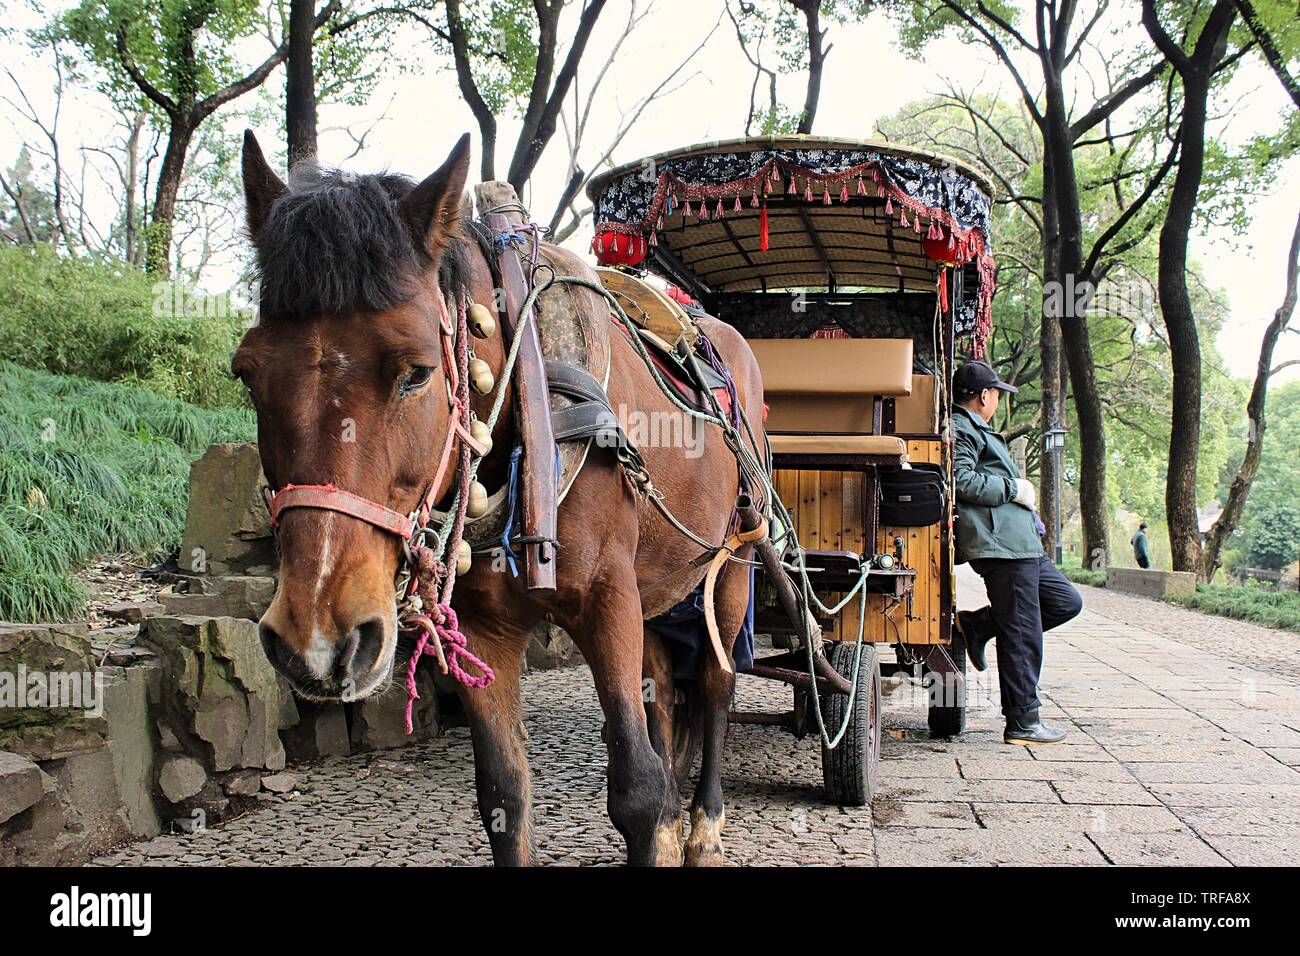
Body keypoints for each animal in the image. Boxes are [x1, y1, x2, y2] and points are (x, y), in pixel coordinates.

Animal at [233, 131, 768, 866]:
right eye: (246, 375)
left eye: (417, 372)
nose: (316, 640)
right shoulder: (486, 627)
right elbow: (503, 798)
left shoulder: (609, 596)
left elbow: (634, 786)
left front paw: (661, 814)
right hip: (660, 584)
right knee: (663, 683)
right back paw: (672, 822)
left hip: (733, 562)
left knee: (715, 683)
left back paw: (704, 824)